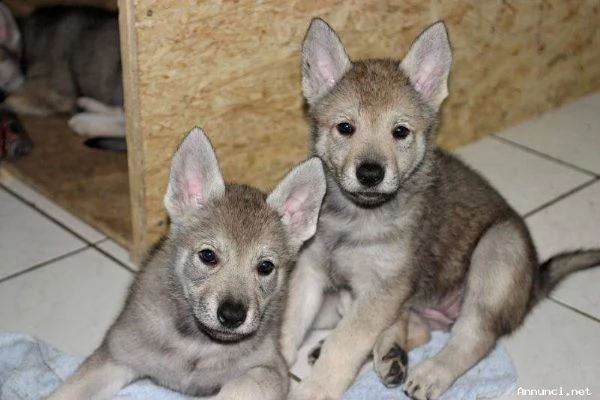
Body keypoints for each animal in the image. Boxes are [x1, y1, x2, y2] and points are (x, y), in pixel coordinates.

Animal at [48, 128, 328, 400]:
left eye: (265, 267)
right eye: (208, 256)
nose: (232, 316)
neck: (197, 345)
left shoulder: (269, 369)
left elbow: (239, 387)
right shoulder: (116, 355)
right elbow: (65, 392)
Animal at [280, 17, 600, 398]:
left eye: (400, 131)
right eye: (345, 127)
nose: (370, 173)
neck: (356, 216)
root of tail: (534, 282)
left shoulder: (383, 290)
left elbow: (344, 345)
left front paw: (312, 389)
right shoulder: (310, 272)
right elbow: (288, 327)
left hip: (497, 251)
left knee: (474, 337)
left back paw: (431, 371)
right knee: (418, 328)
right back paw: (388, 354)